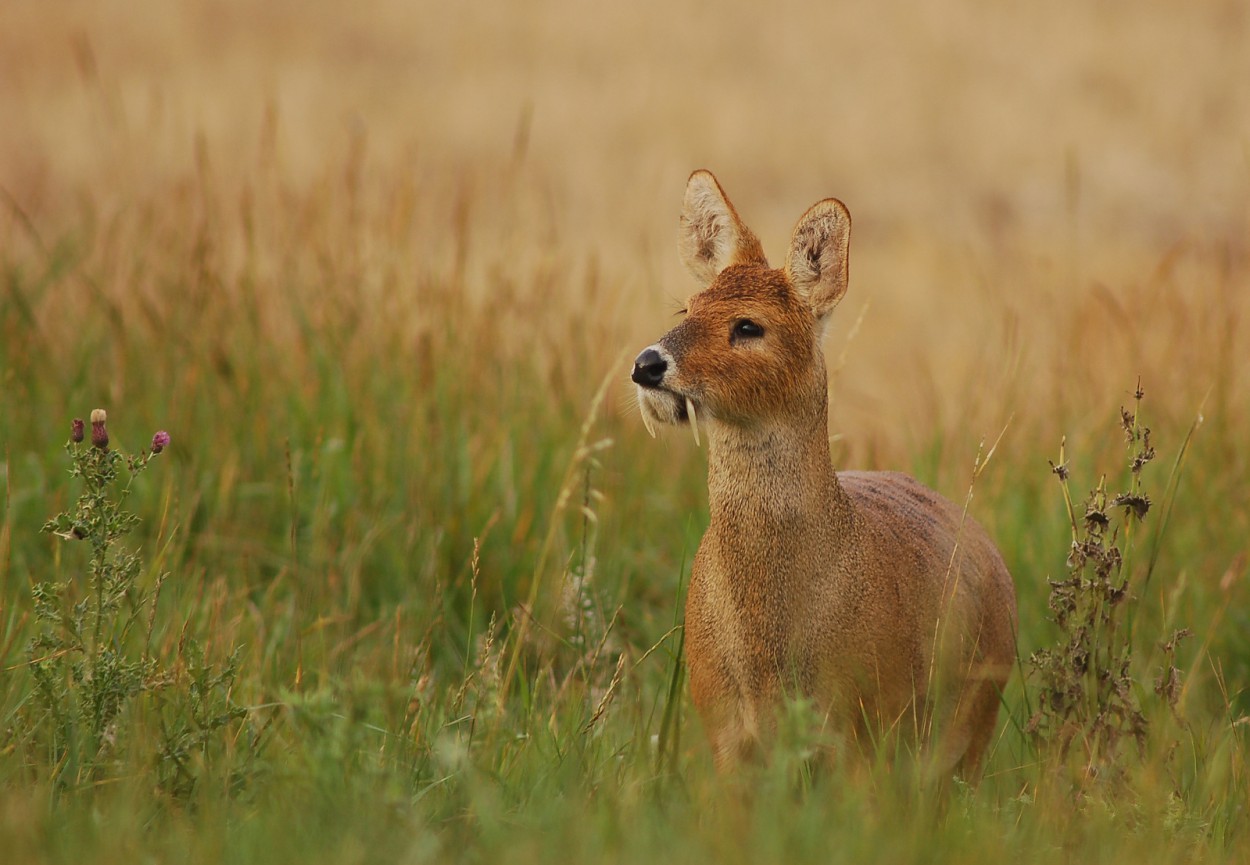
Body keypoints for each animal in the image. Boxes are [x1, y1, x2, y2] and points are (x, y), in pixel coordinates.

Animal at [635, 168, 1015, 775]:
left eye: (748, 325)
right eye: (686, 310)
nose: (647, 365)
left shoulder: (861, 725)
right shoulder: (720, 726)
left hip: (971, 727)